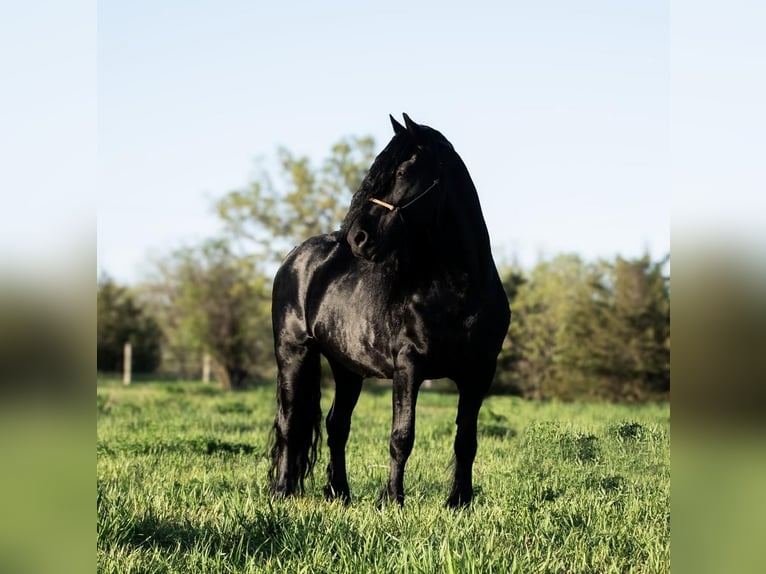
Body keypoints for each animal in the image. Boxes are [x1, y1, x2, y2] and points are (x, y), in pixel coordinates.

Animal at [268, 113, 512, 508]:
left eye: (400, 172)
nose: (357, 238)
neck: (458, 288)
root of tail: (295, 258)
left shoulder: (479, 372)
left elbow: (466, 440)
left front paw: (459, 502)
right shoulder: (409, 366)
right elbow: (402, 437)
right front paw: (393, 499)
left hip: (347, 368)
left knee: (336, 426)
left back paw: (340, 493)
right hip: (294, 353)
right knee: (290, 423)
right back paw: (282, 492)